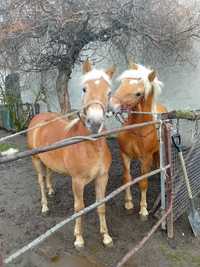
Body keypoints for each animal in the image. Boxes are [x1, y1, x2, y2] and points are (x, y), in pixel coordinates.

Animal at [28, 60, 115, 249]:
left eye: (109, 92)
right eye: (84, 89)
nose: (95, 122)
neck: (90, 145)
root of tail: (38, 118)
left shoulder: (102, 177)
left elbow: (101, 206)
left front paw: (106, 236)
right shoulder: (78, 181)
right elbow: (79, 208)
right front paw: (79, 238)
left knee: (49, 175)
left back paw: (51, 190)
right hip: (36, 160)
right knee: (41, 181)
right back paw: (45, 207)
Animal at [110, 63, 166, 220]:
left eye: (138, 93)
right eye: (122, 83)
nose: (112, 105)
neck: (137, 129)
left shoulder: (145, 158)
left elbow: (143, 183)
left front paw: (143, 209)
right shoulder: (125, 155)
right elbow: (127, 178)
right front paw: (128, 203)